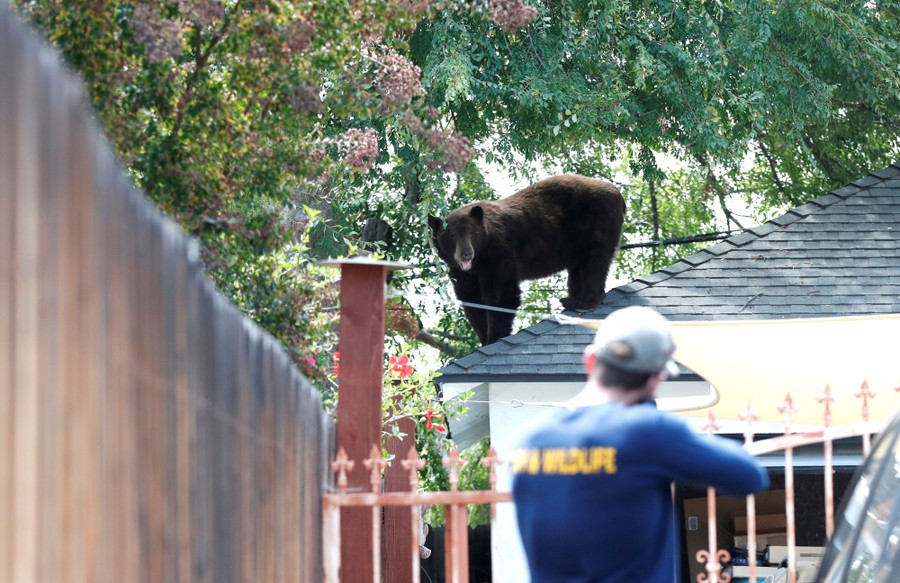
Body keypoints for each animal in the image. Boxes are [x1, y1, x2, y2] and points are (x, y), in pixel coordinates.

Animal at [428, 174, 626, 345]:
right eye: (452, 236)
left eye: (472, 233)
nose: (466, 254)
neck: (479, 260)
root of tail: (617, 192)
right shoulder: (459, 272)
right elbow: (471, 300)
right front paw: (484, 338)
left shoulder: (498, 252)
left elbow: (500, 294)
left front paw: (494, 337)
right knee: (578, 268)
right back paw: (572, 298)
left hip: (596, 222)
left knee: (594, 261)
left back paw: (582, 300)